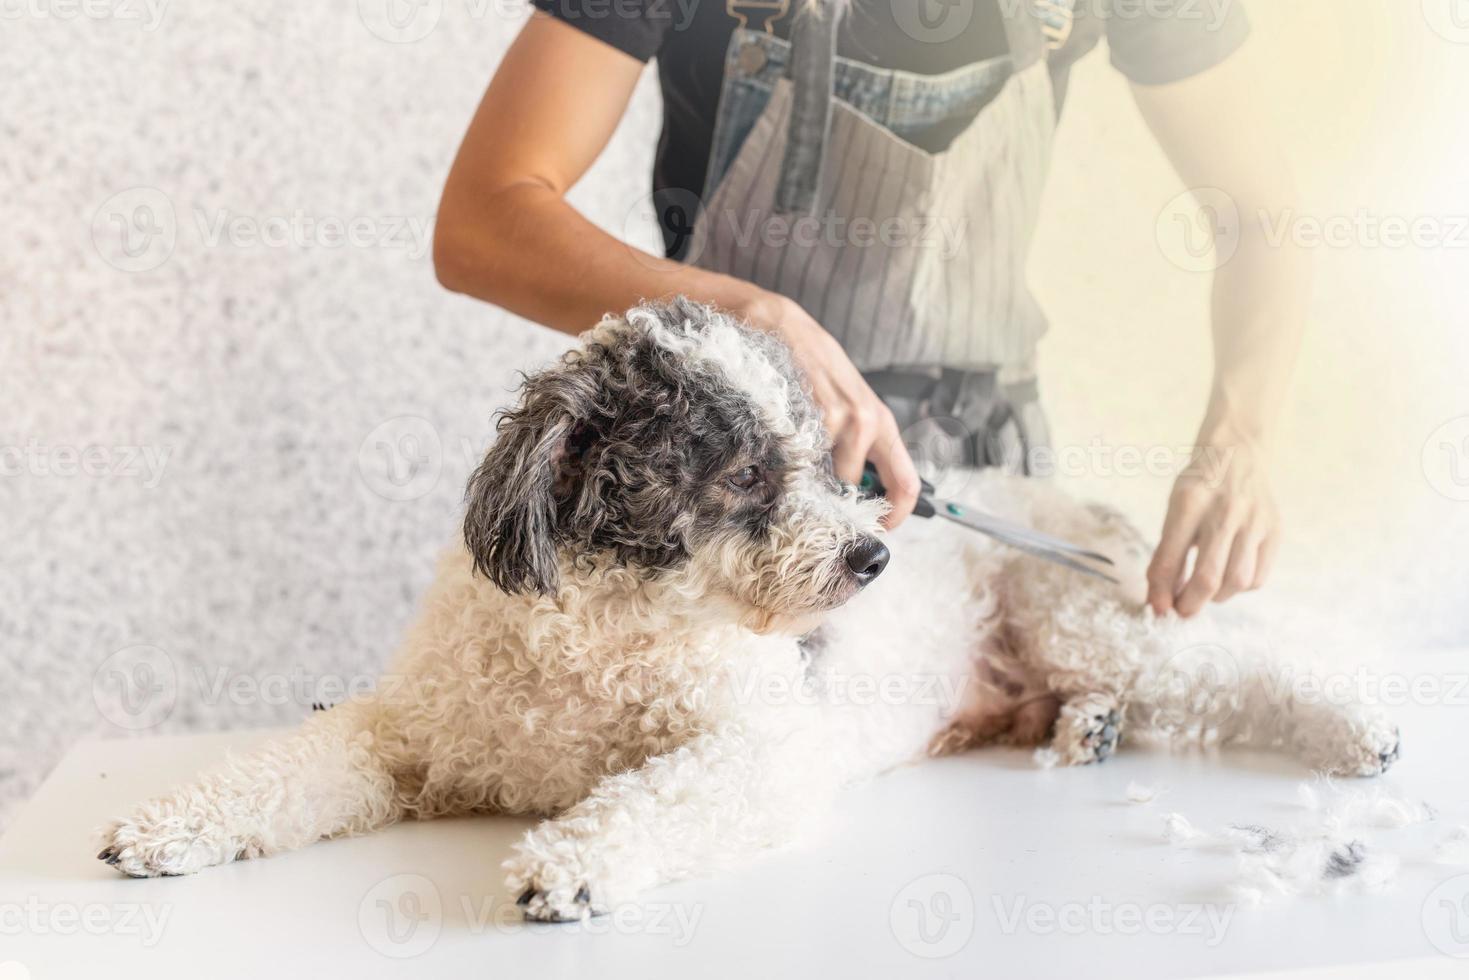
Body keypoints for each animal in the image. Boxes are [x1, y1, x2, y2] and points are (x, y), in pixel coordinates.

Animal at [94, 296, 1398, 922]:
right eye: (740, 474)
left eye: (827, 461)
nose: (874, 552)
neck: (605, 636)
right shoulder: (411, 733)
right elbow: (292, 764)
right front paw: (167, 825)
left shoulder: (755, 747)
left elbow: (654, 798)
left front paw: (567, 864)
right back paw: (1086, 728)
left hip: (1081, 612)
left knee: (1234, 675)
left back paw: (1357, 727)